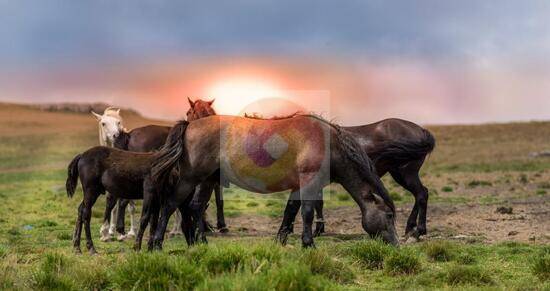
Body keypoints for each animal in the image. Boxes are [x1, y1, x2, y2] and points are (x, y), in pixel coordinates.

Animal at [144, 114, 398, 251]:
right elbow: (306, 213)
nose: (397, 245)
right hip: (190, 179)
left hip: (207, 181)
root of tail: (190, 125)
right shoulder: (309, 183)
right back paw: (157, 243)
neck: (328, 143)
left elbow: (290, 212)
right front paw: (308, 243)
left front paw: (281, 240)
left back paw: (202, 243)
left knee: (195, 207)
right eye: (389, 215)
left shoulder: (298, 186)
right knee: (170, 205)